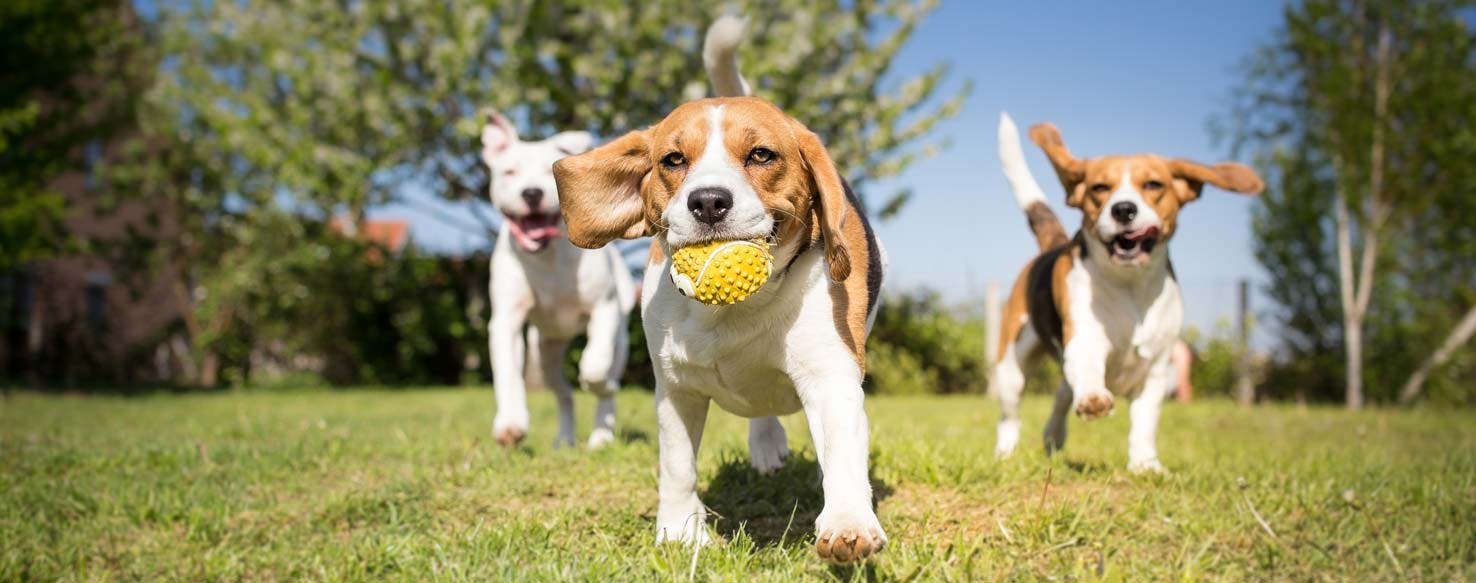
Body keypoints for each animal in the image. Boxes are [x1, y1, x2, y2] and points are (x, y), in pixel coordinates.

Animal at [484, 110, 634, 448]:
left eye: (548, 171)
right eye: (509, 172)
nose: (532, 193)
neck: (547, 255)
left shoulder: (603, 309)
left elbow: (594, 366)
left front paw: (598, 383)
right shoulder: (506, 321)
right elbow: (507, 373)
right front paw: (510, 423)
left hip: (620, 338)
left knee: (607, 379)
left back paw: (601, 435)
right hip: (545, 353)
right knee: (563, 393)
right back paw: (565, 439)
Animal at [549, 17, 879, 566]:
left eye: (762, 155)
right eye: (673, 159)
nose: (707, 201)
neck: (734, 311)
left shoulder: (830, 375)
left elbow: (842, 454)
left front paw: (848, 523)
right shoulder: (675, 388)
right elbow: (677, 466)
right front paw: (680, 532)